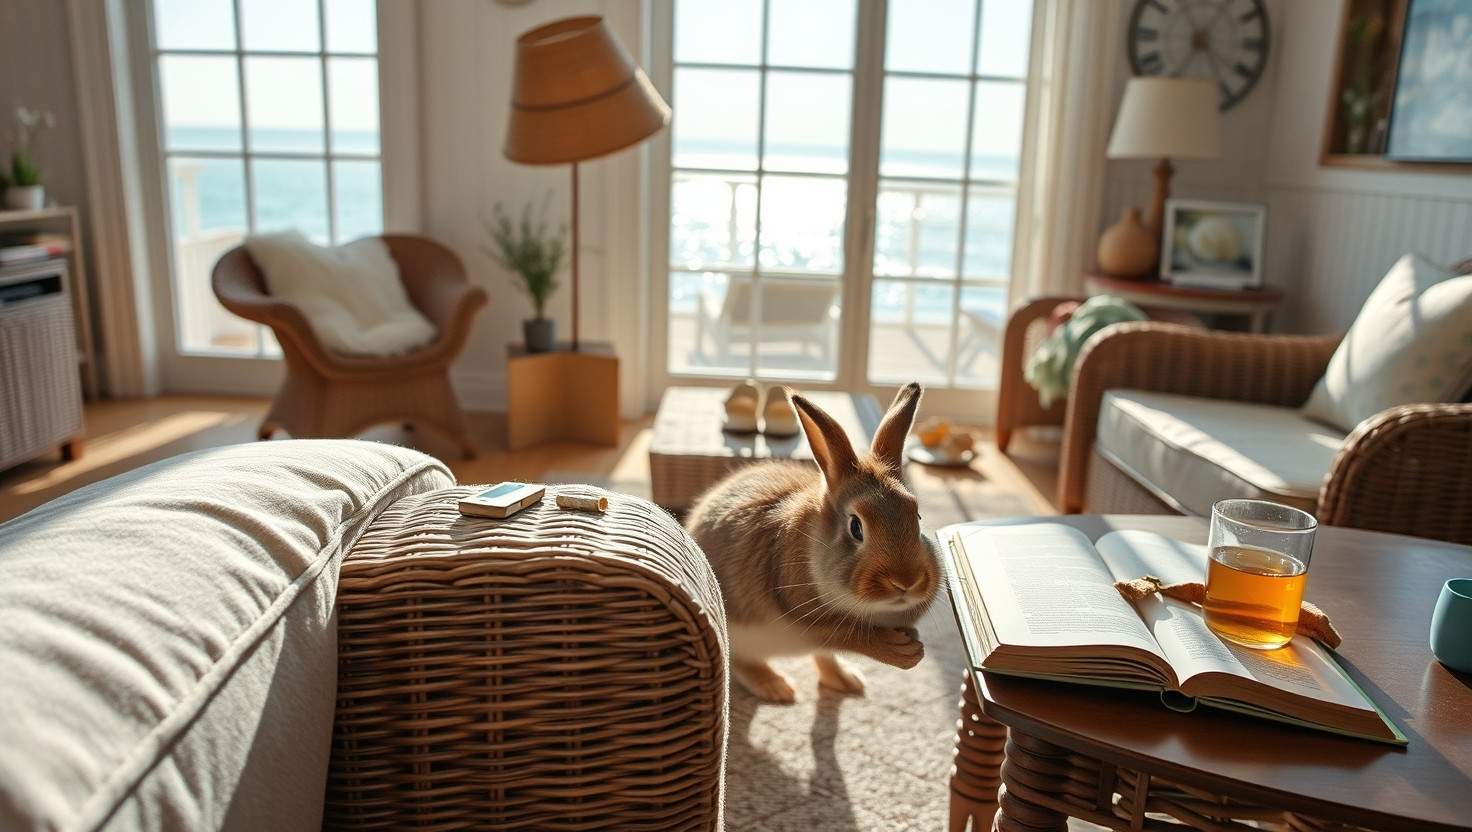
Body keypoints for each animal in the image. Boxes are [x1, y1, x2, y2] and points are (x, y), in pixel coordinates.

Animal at [684, 381, 942, 703]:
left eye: (917, 516)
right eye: (856, 527)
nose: (906, 582)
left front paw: (914, 645)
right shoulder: (809, 622)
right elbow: (851, 636)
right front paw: (906, 654)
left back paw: (847, 681)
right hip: (739, 635)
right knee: (741, 661)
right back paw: (776, 687)